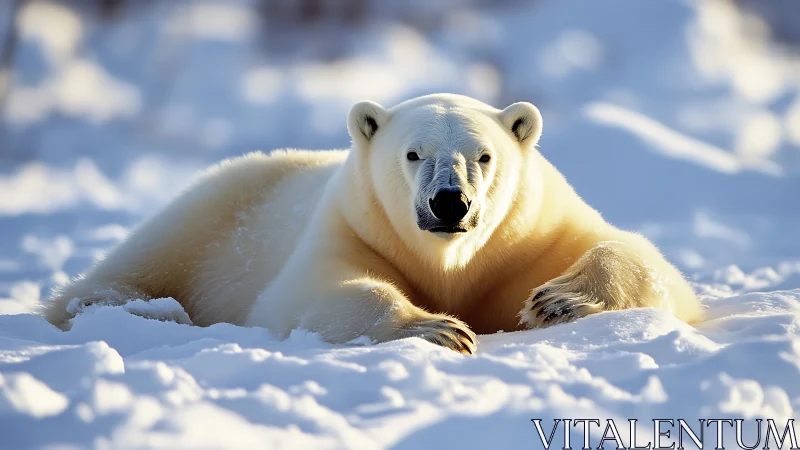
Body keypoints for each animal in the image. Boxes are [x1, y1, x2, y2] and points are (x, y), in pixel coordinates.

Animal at [42, 94, 703, 354]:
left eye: (484, 156)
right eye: (413, 154)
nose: (449, 203)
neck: (452, 263)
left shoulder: (533, 235)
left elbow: (646, 261)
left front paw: (559, 300)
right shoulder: (353, 227)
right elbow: (314, 294)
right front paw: (440, 328)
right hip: (220, 206)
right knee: (142, 256)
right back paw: (139, 308)